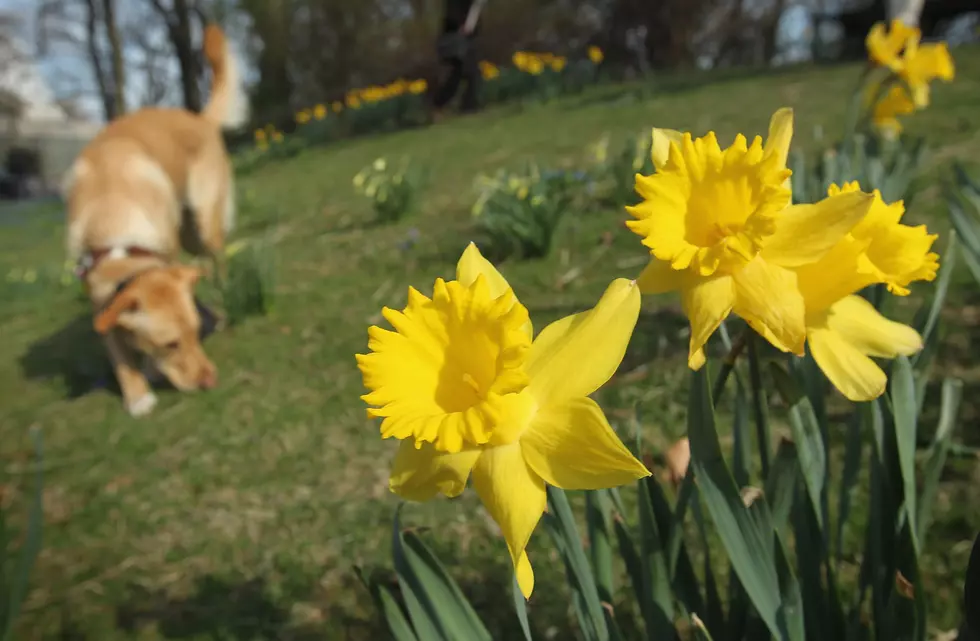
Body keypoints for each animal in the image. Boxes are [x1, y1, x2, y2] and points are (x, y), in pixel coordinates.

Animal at [62, 23, 249, 416]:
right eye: (171, 343)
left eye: (195, 333)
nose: (211, 381)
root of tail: (196, 117)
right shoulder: (99, 300)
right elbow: (118, 353)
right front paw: (136, 395)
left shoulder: (167, 253)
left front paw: (147, 372)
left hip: (202, 226)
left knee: (218, 261)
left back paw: (225, 300)